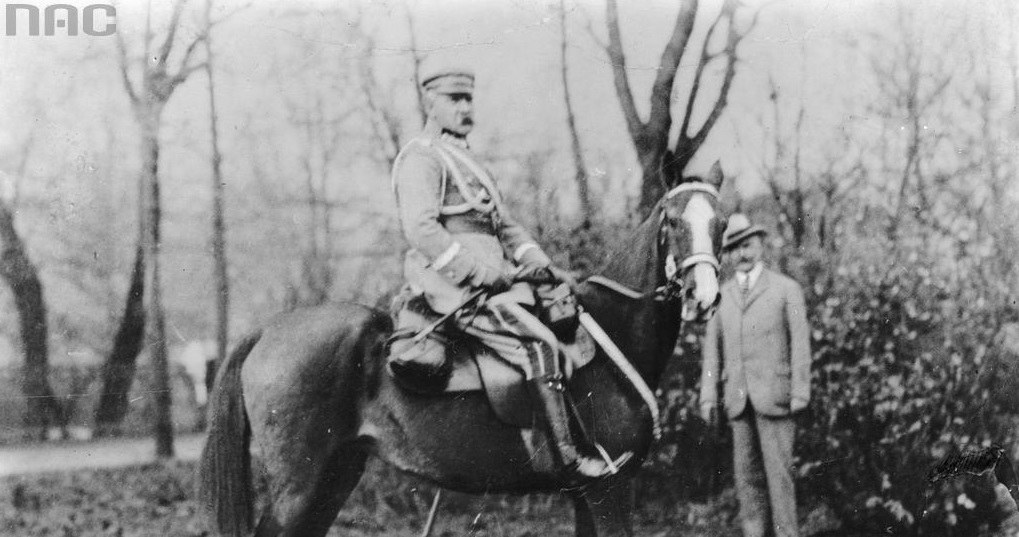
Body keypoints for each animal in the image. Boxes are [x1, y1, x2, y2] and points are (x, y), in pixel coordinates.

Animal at [196, 169, 725, 537]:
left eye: (721, 222)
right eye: (673, 221)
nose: (703, 296)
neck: (612, 332)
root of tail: (266, 330)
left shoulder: (585, 495)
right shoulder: (609, 488)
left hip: (335, 476)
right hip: (299, 486)